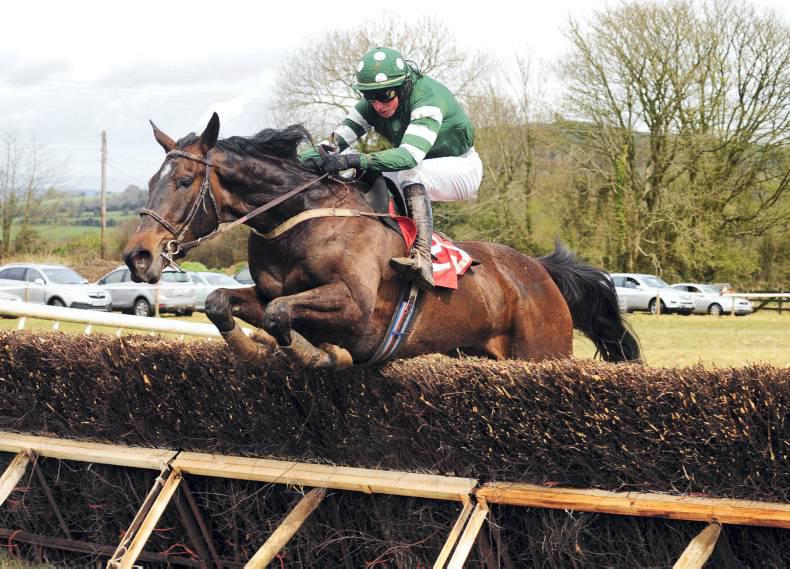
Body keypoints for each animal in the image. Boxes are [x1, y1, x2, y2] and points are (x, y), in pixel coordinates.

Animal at [123, 113, 641, 370]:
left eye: (185, 181)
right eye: (149, 180)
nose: (137, 256)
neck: (302, 219)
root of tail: (540, 271)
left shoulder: (354, 305)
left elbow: (280, 314)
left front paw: (317, 354)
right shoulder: (266, 290)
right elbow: (220, 301)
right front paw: (253, 352)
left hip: (542, 352)